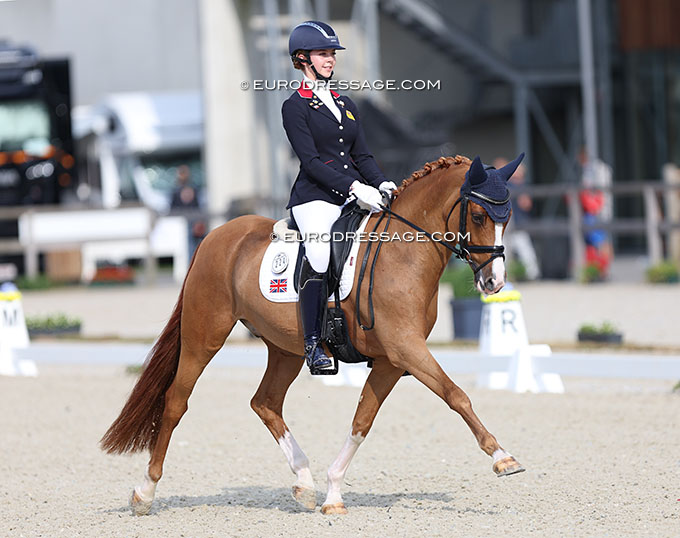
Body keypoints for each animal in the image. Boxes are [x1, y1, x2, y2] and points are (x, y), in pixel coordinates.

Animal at [102, 153, 524, 512]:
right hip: (202, 338)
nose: (494, 282)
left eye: (507, 217)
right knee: (176, 402)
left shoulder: (391, 359)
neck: (402, 254)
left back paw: (304, 482)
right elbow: (456, 395)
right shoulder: (406, 348)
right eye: (480, 215)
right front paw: (503, 457)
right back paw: (145, 492)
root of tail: (215, 236)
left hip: (286, 349)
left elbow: (362, 421)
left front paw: (333, 493)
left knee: (265, 402)